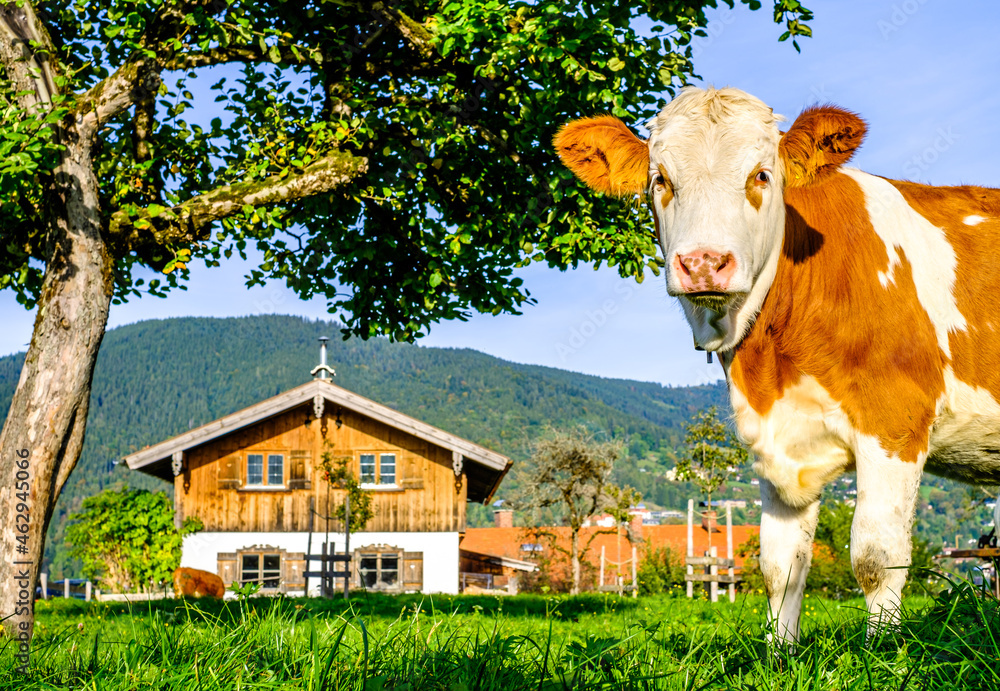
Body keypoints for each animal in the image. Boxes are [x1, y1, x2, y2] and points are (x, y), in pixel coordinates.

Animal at [552, 88, 1000, 644]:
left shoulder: (894, 421)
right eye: (661, 180)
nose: (703, 263)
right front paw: (779, 649)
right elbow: (779, 565)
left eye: (761, 175)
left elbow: (876, 556)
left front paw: (884, 648)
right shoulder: (775, 439)